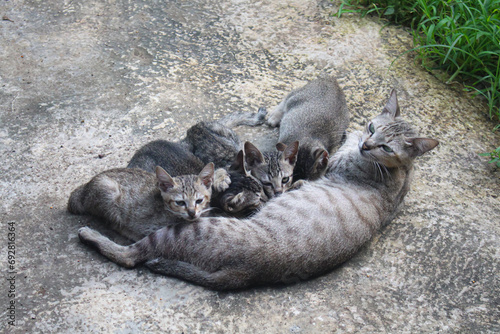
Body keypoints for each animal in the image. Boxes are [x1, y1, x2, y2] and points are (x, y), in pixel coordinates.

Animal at [67, 163, 215, 241]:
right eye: (180, 203)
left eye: (199, 200)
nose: (192, 213)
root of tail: (86, 186)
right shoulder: (152, 228)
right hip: (108, 190)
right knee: (113, 223)